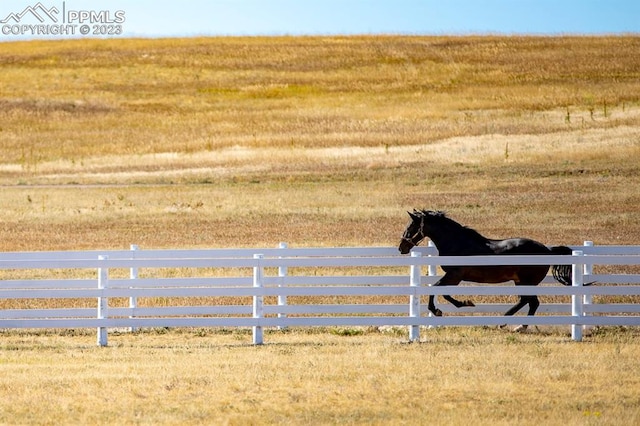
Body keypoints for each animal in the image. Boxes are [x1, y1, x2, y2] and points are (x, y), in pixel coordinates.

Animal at [398, 210, 572, 330]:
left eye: (411, 227)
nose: (401, 248)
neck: (458, 243)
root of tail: (547, 249)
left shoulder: (455, 275)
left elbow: (438, 290)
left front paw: (452, 307)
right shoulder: (454, 276)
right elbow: (441, 291)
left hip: (527, 282)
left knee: (531, 302)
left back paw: (514, 325)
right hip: (521, 282)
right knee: (529, 301)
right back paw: (509, 323)